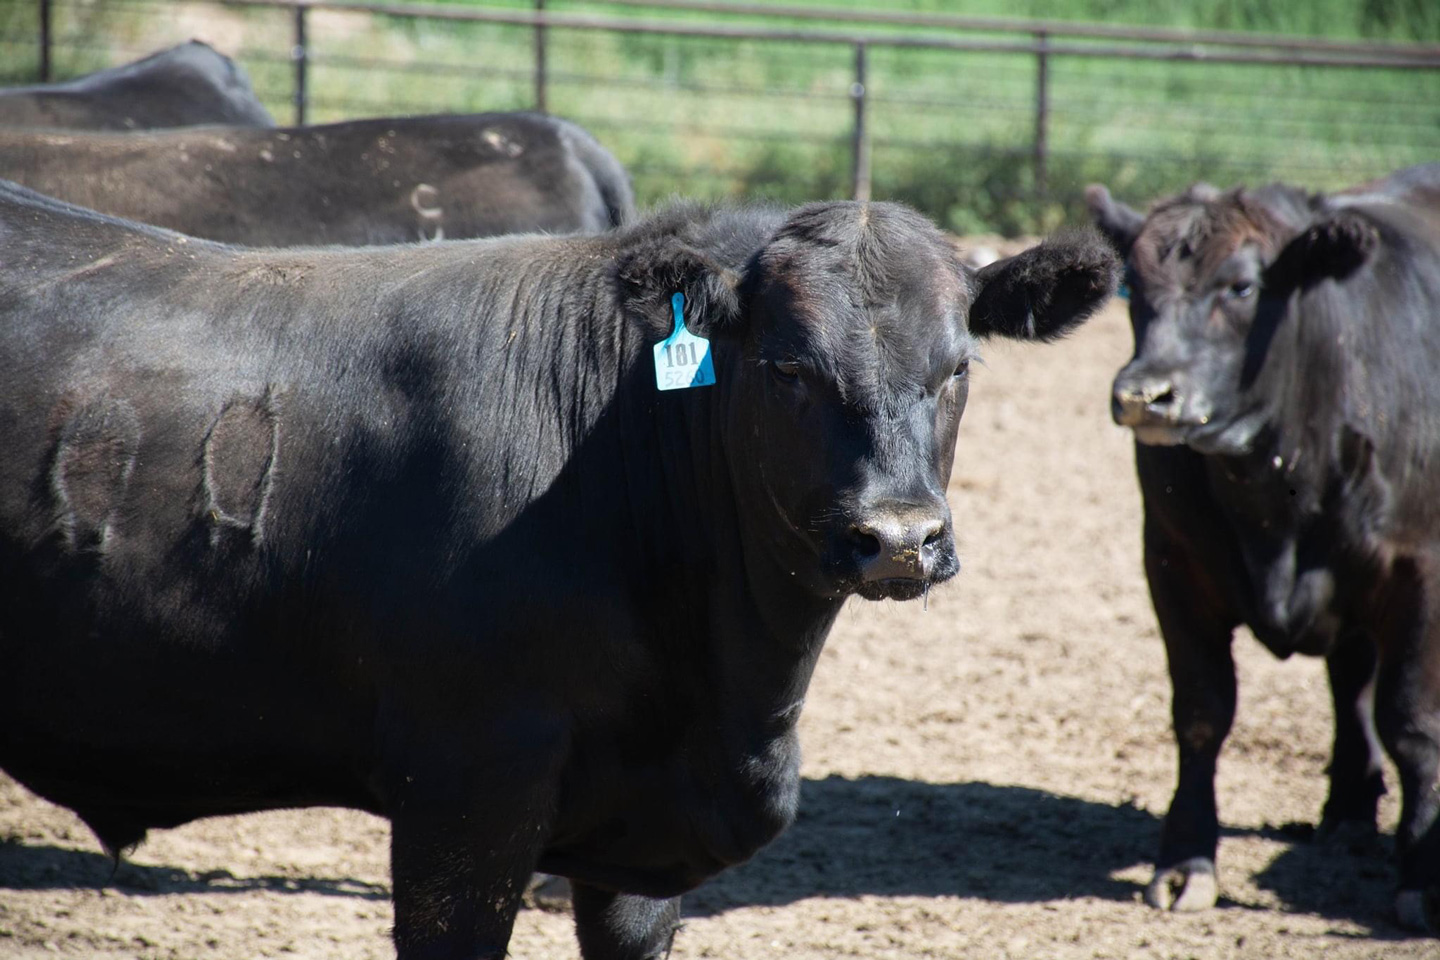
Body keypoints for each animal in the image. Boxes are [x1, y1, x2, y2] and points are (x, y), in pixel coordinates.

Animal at [1082, 163, 1440, 932]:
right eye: (1135, 289)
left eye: (1242, 287)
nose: (1143, 395)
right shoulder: (1172, 564)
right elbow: (1201, 712)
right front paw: (1185, 860)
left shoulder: (1420, 572)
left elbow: (1411, 721)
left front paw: (1422, 879)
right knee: (1349, 677)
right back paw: (1347, 807)